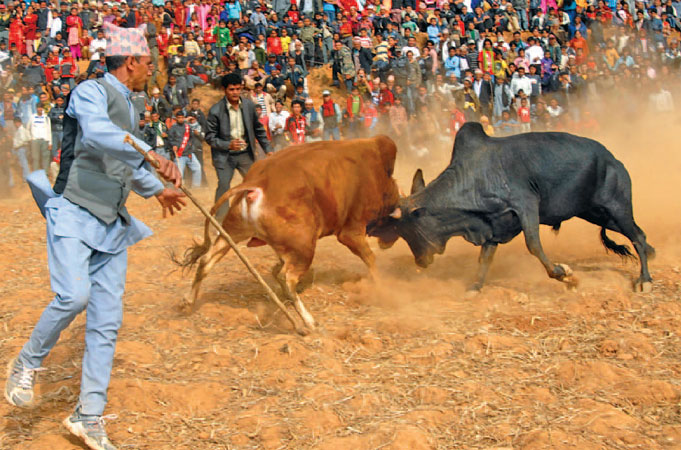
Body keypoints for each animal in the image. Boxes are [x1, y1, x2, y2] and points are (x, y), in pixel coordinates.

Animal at [179, 135, 398, 328]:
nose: (387, 244)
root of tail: (256, 184)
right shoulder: (351, 231)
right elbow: (370, 258)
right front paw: (382, 287)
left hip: (231, 233)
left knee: (206, 261)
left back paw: (188, 302)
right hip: (303, 248)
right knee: (287, 278)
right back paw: (308, 322)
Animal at [370, 121, 656, 294]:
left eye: (407, 229)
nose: (420, 261)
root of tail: (612, 159)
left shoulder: (526, 205)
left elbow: (534, 245)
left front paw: (563, 274)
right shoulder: (492, 227)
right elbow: (485, 258)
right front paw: (475, 286)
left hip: (617, 207)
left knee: (637, 235)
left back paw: (644, 279)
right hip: (596, 214)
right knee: (638, 235)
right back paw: (650, 258)